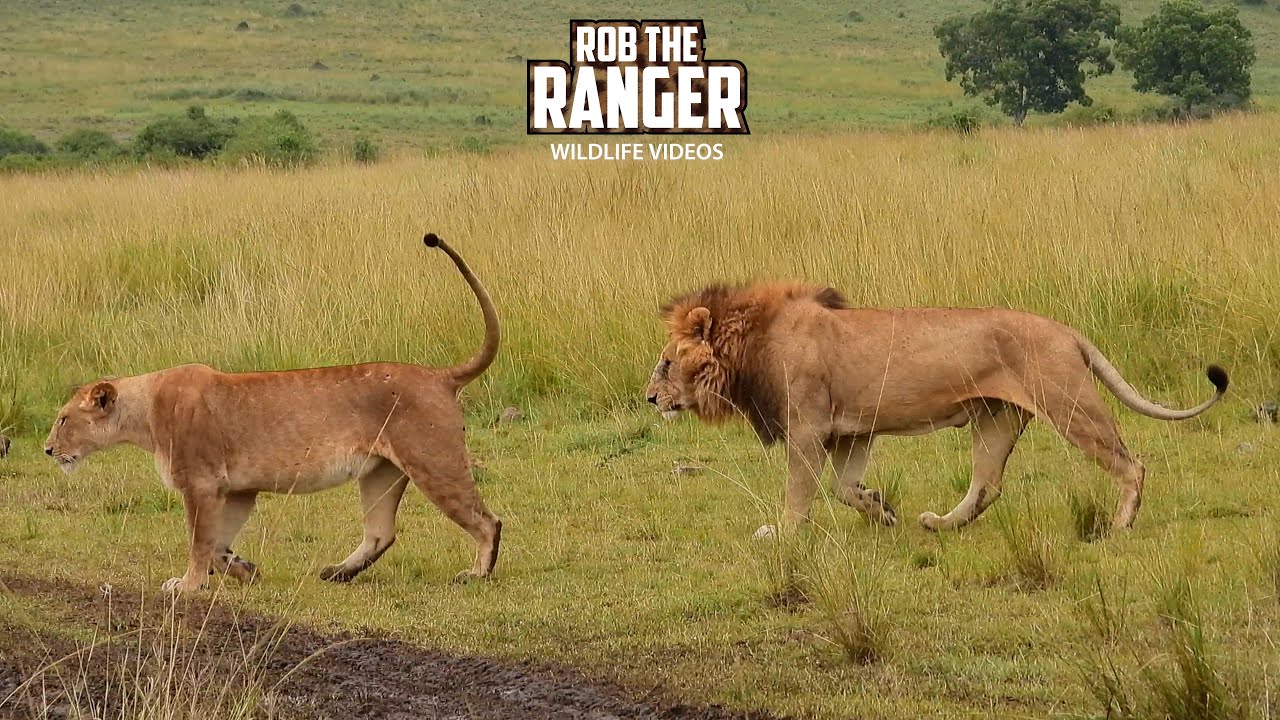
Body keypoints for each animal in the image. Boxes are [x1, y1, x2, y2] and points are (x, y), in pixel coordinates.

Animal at [44, 233, 502, 594]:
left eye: (64, 419)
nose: (47, 450)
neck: (145, 412)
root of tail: (439, 375)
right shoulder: (237, 489)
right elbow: (217, 543)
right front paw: (244, 569)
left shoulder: (202, 483)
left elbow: (198, 540)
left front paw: (188, 586)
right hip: (381, 472)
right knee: (381, 532)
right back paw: (337, 572)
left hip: (433, 461)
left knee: (487, 520)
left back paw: (476, 574)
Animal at [644, 282, 1228, 536]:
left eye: (667, 363)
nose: (650, 399)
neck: (752, 342)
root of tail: (1066, 331)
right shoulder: (850, 432)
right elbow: (844, 488)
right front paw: (881, 509)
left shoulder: (808, 429)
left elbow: (799, 493)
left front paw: (783, 534)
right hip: (995, 418)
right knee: (987, 484)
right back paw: (941, 523)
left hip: (1069, 404)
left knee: (1132, 464)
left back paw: (1120, 525)